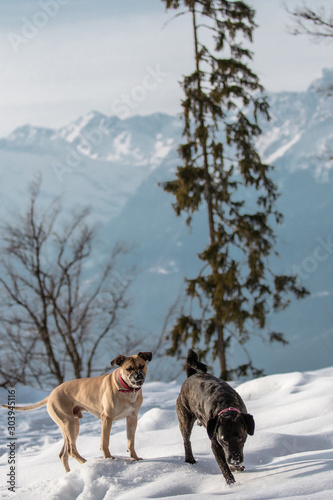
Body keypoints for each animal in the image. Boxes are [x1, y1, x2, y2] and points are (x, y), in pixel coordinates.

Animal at [0, 350, 152, 470]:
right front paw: (109, 459)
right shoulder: (107, 418)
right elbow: (105, 442)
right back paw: (86, 462)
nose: (138, 376)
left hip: (72, 425)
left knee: (63, 454)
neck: (127, 389)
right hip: (68, 423)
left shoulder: (132, 417)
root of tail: (51, 394)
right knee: (71, 450)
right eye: (128, 369)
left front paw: (135, 458)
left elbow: (131, 441)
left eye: (141, 366)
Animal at [176, 348, 254, 484]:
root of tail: (191, 376)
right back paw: (190, 459)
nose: (235, 460)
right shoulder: (216, 445)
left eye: (240, 437)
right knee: (186, 440)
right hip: (185, 417)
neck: (227, 406)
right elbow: (223, 466)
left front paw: (236, 467)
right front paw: (231, 483)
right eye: (223, 439)